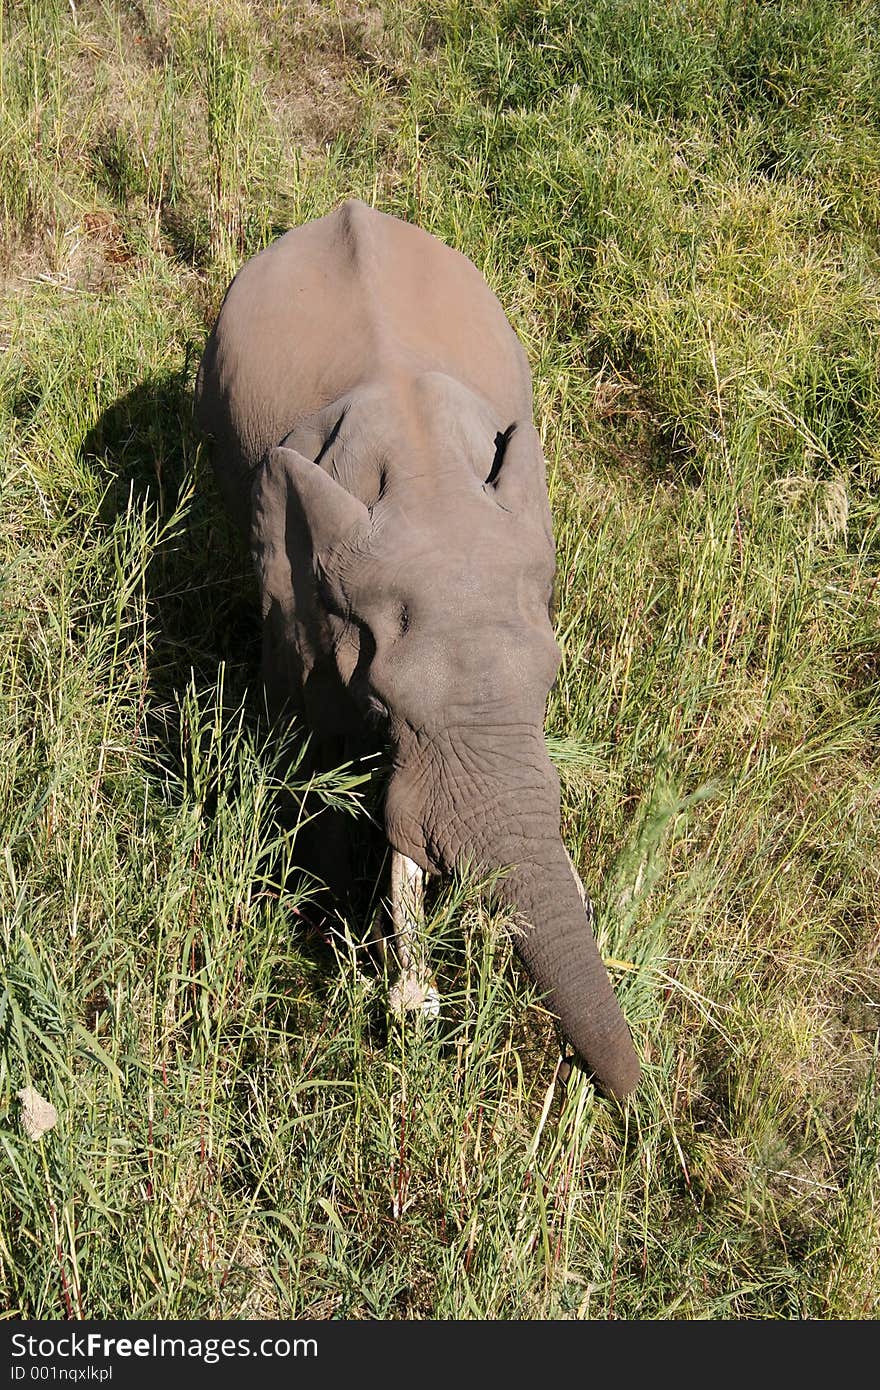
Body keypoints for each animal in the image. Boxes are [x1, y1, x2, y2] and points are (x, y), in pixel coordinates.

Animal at [193, 201, 639, 1100]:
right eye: (387, 706)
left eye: (552, 681)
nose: (644, 1106)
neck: (424, 471)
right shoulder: (290, 601)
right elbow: (314, 746)